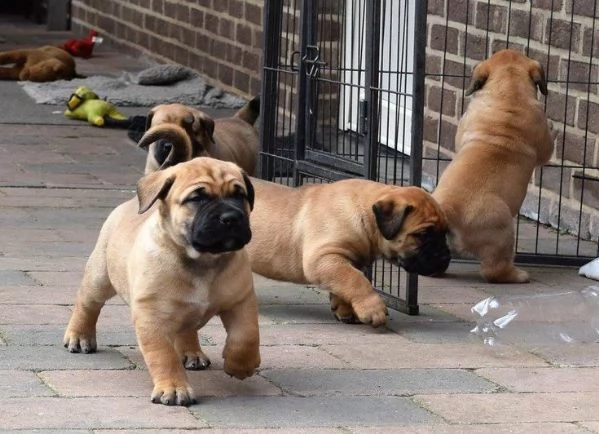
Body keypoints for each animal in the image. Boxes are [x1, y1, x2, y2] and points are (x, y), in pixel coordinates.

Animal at [63, 157, 260, 406]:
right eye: (197, 198)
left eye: (239, 195)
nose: (231, 217)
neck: (203, 261)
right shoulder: (152, 315)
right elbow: (164, 356)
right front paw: (174, 388)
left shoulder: (240, 301)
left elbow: (246, 336)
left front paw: (241, 366)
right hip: (100, 276)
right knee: (87, 304)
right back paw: (79, 337)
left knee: (187, 328)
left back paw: (192, 353)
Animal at [434, 49, 556, 284]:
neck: (508, 91)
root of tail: (449, 210)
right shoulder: (543, 141)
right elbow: (548, 146)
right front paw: (554, 127)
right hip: (503, 230)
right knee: (493, 271)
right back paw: (518, 275)